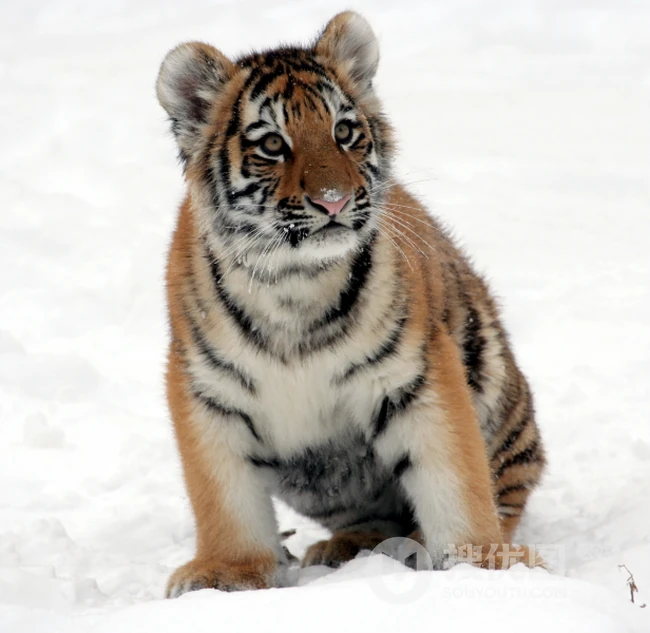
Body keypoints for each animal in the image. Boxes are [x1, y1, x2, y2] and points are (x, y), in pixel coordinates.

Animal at [156, 11, 546, 598]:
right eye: (272, 144)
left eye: (344, 132)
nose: (334, 201)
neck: (294, 282)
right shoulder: (207, 391)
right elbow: (223, 496)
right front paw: (226, 573)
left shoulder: (417, 377)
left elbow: (455, 478)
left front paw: (483, 565)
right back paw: (352, 547)